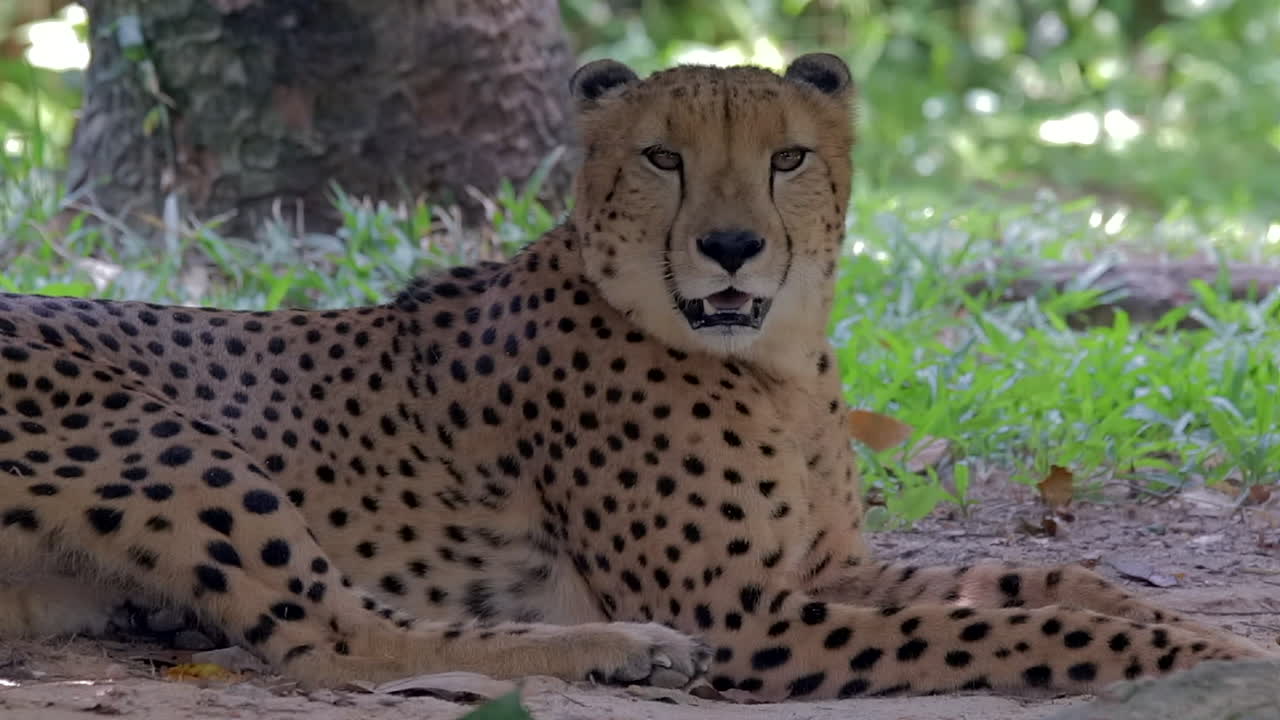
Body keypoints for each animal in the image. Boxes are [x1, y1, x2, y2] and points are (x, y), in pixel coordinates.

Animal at [0, 53, 1271, 702]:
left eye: (787, 157)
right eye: (662, 157)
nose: (731, 246)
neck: (770, 365)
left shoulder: (823, 571)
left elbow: (1040, 582)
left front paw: (1192, 629)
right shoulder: (747, 618)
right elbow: (1010, 630)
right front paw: (1199, 659)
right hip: (165, 438)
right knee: (330, 642)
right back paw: (622, 647)